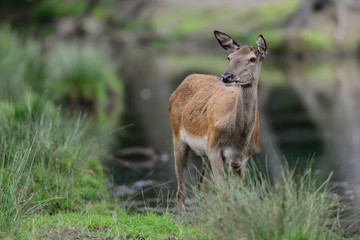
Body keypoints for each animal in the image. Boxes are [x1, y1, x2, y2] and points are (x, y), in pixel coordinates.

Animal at [169, 31, 268, 217]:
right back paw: (181, 220)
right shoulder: (214, 146)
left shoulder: (242, 158)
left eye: (252, 59)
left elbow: (237, 191)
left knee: (202, 187)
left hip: (204, 153)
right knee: (181, 190)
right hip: (177, 136)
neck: (239, 137)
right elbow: (224, 191)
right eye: (229, 57)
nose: (226, 76)